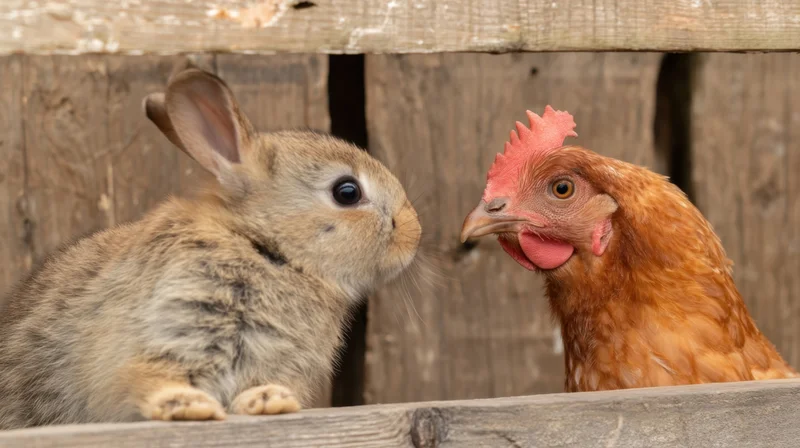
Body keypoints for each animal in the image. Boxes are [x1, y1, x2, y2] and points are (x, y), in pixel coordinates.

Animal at [0, 68, 421, 430]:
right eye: (347, 192)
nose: (414, 233)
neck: (264, 246)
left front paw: (269, 401)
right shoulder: (156, 336)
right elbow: (147, 378)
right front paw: (187, 406)